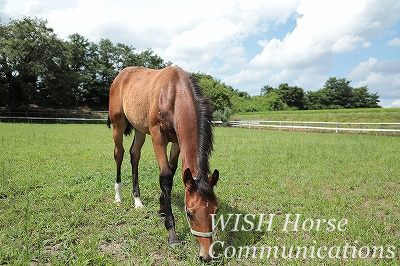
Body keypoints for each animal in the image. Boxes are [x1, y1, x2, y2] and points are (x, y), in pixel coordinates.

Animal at [107, 65, 219, 260]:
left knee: (134, 155)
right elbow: (165, 175)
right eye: (189, 213)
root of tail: (122, 74)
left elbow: (173, 171)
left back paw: (137, 201)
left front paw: (161, 206)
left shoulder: (177, 141)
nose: (206, 254)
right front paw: (172, 233)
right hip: (118, 124)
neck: (173, 93)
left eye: (216, 210)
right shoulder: (158, 136)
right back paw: (118, 196)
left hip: (139, 128)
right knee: (119, 154)